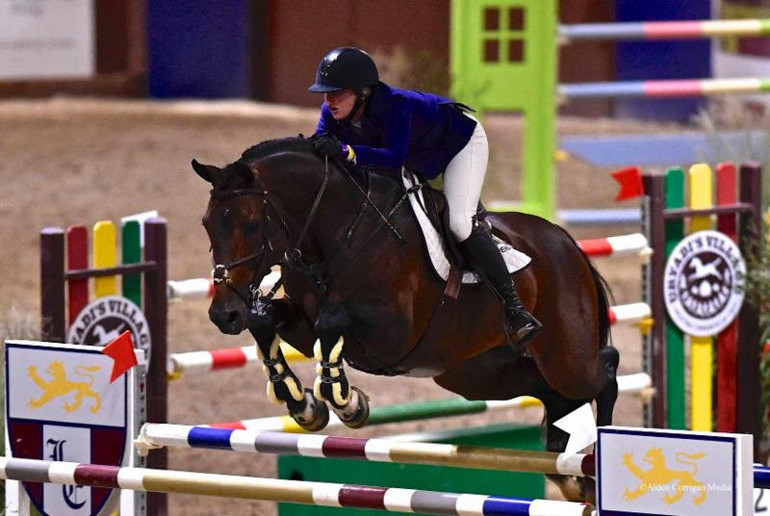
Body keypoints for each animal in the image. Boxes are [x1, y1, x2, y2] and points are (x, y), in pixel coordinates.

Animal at [192, 136, 616, 500]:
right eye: (207, 224)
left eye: (250, 224)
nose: (224, 314)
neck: (336, 233)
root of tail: (567, 243)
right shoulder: (302, 323)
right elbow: (267, 321)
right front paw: (304, 404)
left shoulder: (393, 333)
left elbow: (332, 321)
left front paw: (346, 401)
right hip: (475, 374)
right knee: (553, 394)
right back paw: (569, 475)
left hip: (564, 357)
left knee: (604, 373)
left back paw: (598, 461)